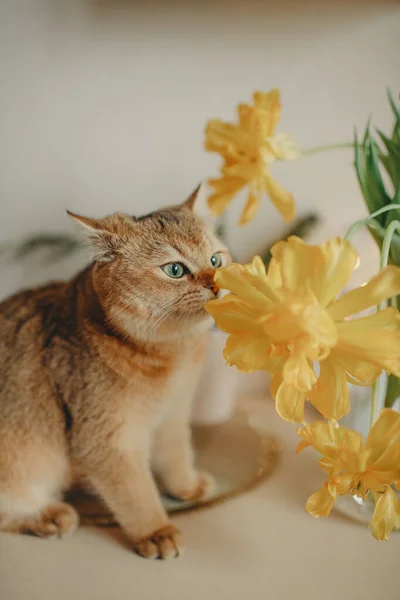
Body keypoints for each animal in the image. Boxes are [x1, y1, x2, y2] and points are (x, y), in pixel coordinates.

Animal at [0, 188, 230, 556]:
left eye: (215, 261)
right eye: (176, 269)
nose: (216, 285)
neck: (172, 356)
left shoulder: (173, 416)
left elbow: (176, 455)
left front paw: (186, 486)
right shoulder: (107, 440)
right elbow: (136, 492)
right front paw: (156, 530)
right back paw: (48, 515)